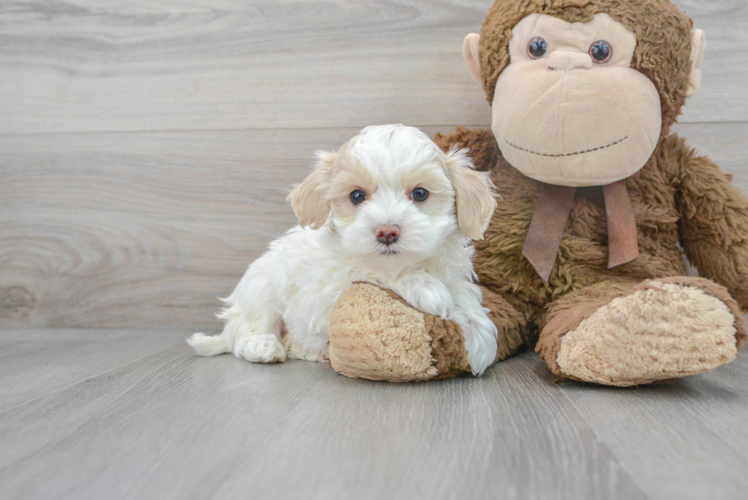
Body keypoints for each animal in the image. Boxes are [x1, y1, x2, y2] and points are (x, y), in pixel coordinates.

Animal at [187, 125, 500, 376]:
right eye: (357, 196)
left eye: (420, 193)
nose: (387, 232)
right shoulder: (330, 286)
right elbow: (371, 271)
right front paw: (427, 289)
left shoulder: (451, 272)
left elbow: (463, 295)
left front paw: (480, 340)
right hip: (261, 290)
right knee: (246, 333)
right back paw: (263, 346)